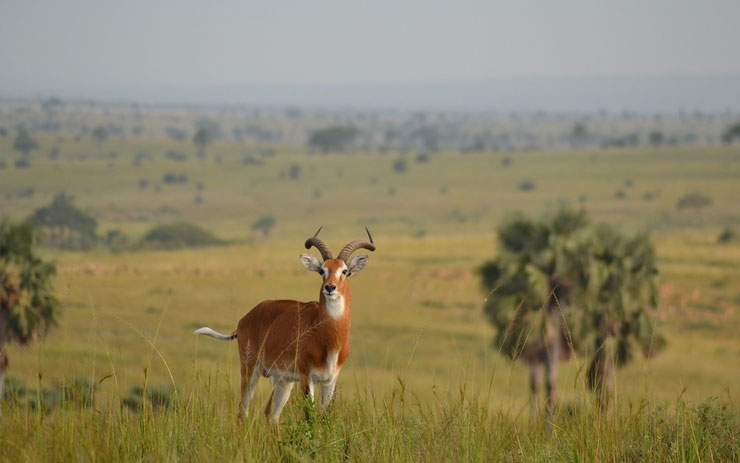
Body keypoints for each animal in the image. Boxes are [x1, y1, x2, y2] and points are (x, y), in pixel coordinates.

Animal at [195, 227, 376, 436]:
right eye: (322, 270)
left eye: (345, 271)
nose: (330, 287)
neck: (327, 337)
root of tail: (246, 318)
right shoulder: (307, 377)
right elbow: (309, 418)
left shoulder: (330, 380)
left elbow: (325, 419)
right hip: (250, 371)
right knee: (243, 411)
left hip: (283, 381)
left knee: (271, 415)